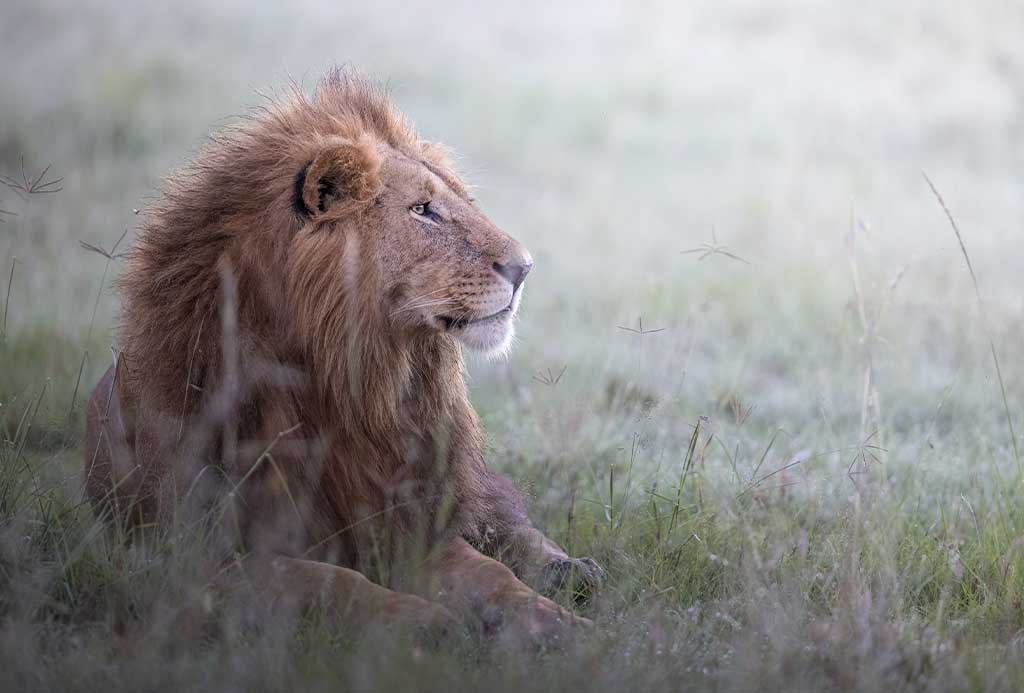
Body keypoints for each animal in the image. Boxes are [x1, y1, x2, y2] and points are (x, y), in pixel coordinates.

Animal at [88, 67, 602, 638]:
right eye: (422, 211)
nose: (525, 267)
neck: (353, 386)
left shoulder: (406, 521)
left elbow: (492, 575)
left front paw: (558, 626)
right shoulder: (201, 560)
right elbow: (332, 582)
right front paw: (428, 623)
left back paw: (571, 571)